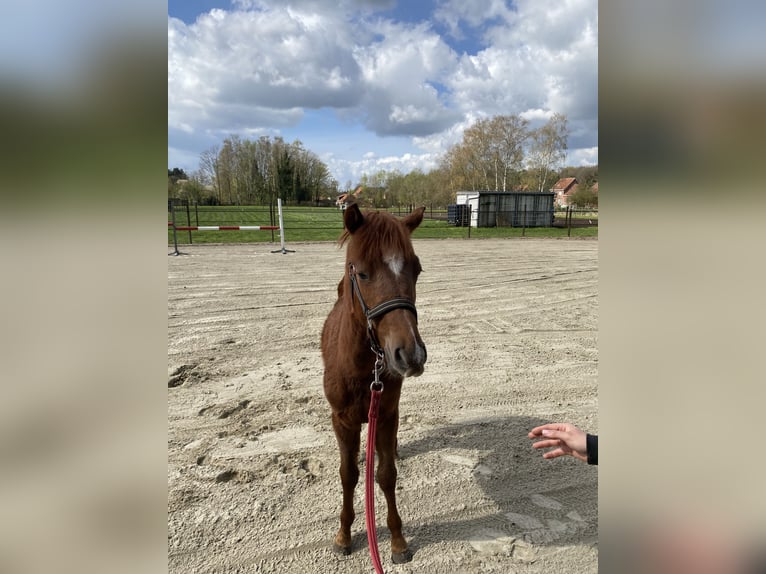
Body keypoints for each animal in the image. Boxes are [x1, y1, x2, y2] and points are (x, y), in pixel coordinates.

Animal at [321, 203, 427, 565]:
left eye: (417, 270)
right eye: (363, 273)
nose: (410, 354)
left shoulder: (386, 414)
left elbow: (385, 475)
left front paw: (397, 540)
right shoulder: (342, 420)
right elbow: (348, 475)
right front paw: (343, 534)